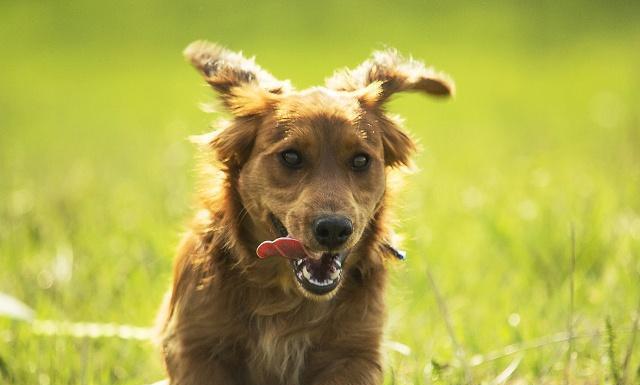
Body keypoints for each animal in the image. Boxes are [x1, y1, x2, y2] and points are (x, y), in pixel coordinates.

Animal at [157, 41, 452, 384]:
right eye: (291, 156)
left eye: (361, 160)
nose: (333, 229)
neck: (287, 297)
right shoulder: (198, 347)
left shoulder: (354, 354)